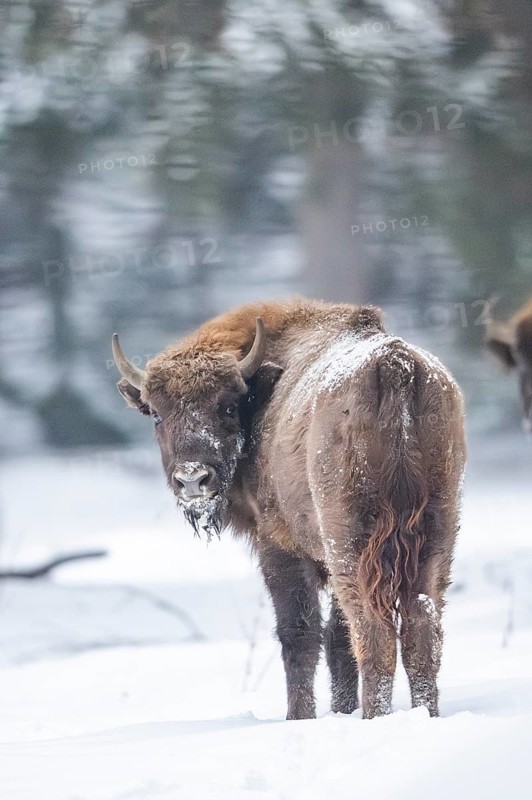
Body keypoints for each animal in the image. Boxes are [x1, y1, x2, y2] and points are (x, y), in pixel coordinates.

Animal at [112, 299, 466, 720]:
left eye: (227, 406)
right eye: (156, 413)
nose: (193, 479)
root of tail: (394, 366)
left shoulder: (280, 547)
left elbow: (299, 635)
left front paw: (300, 717)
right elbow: (336, 643)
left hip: (352, 542)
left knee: (372, 630)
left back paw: (374, 716)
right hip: (437, 533)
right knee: (421, 631)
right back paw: (423, 713)